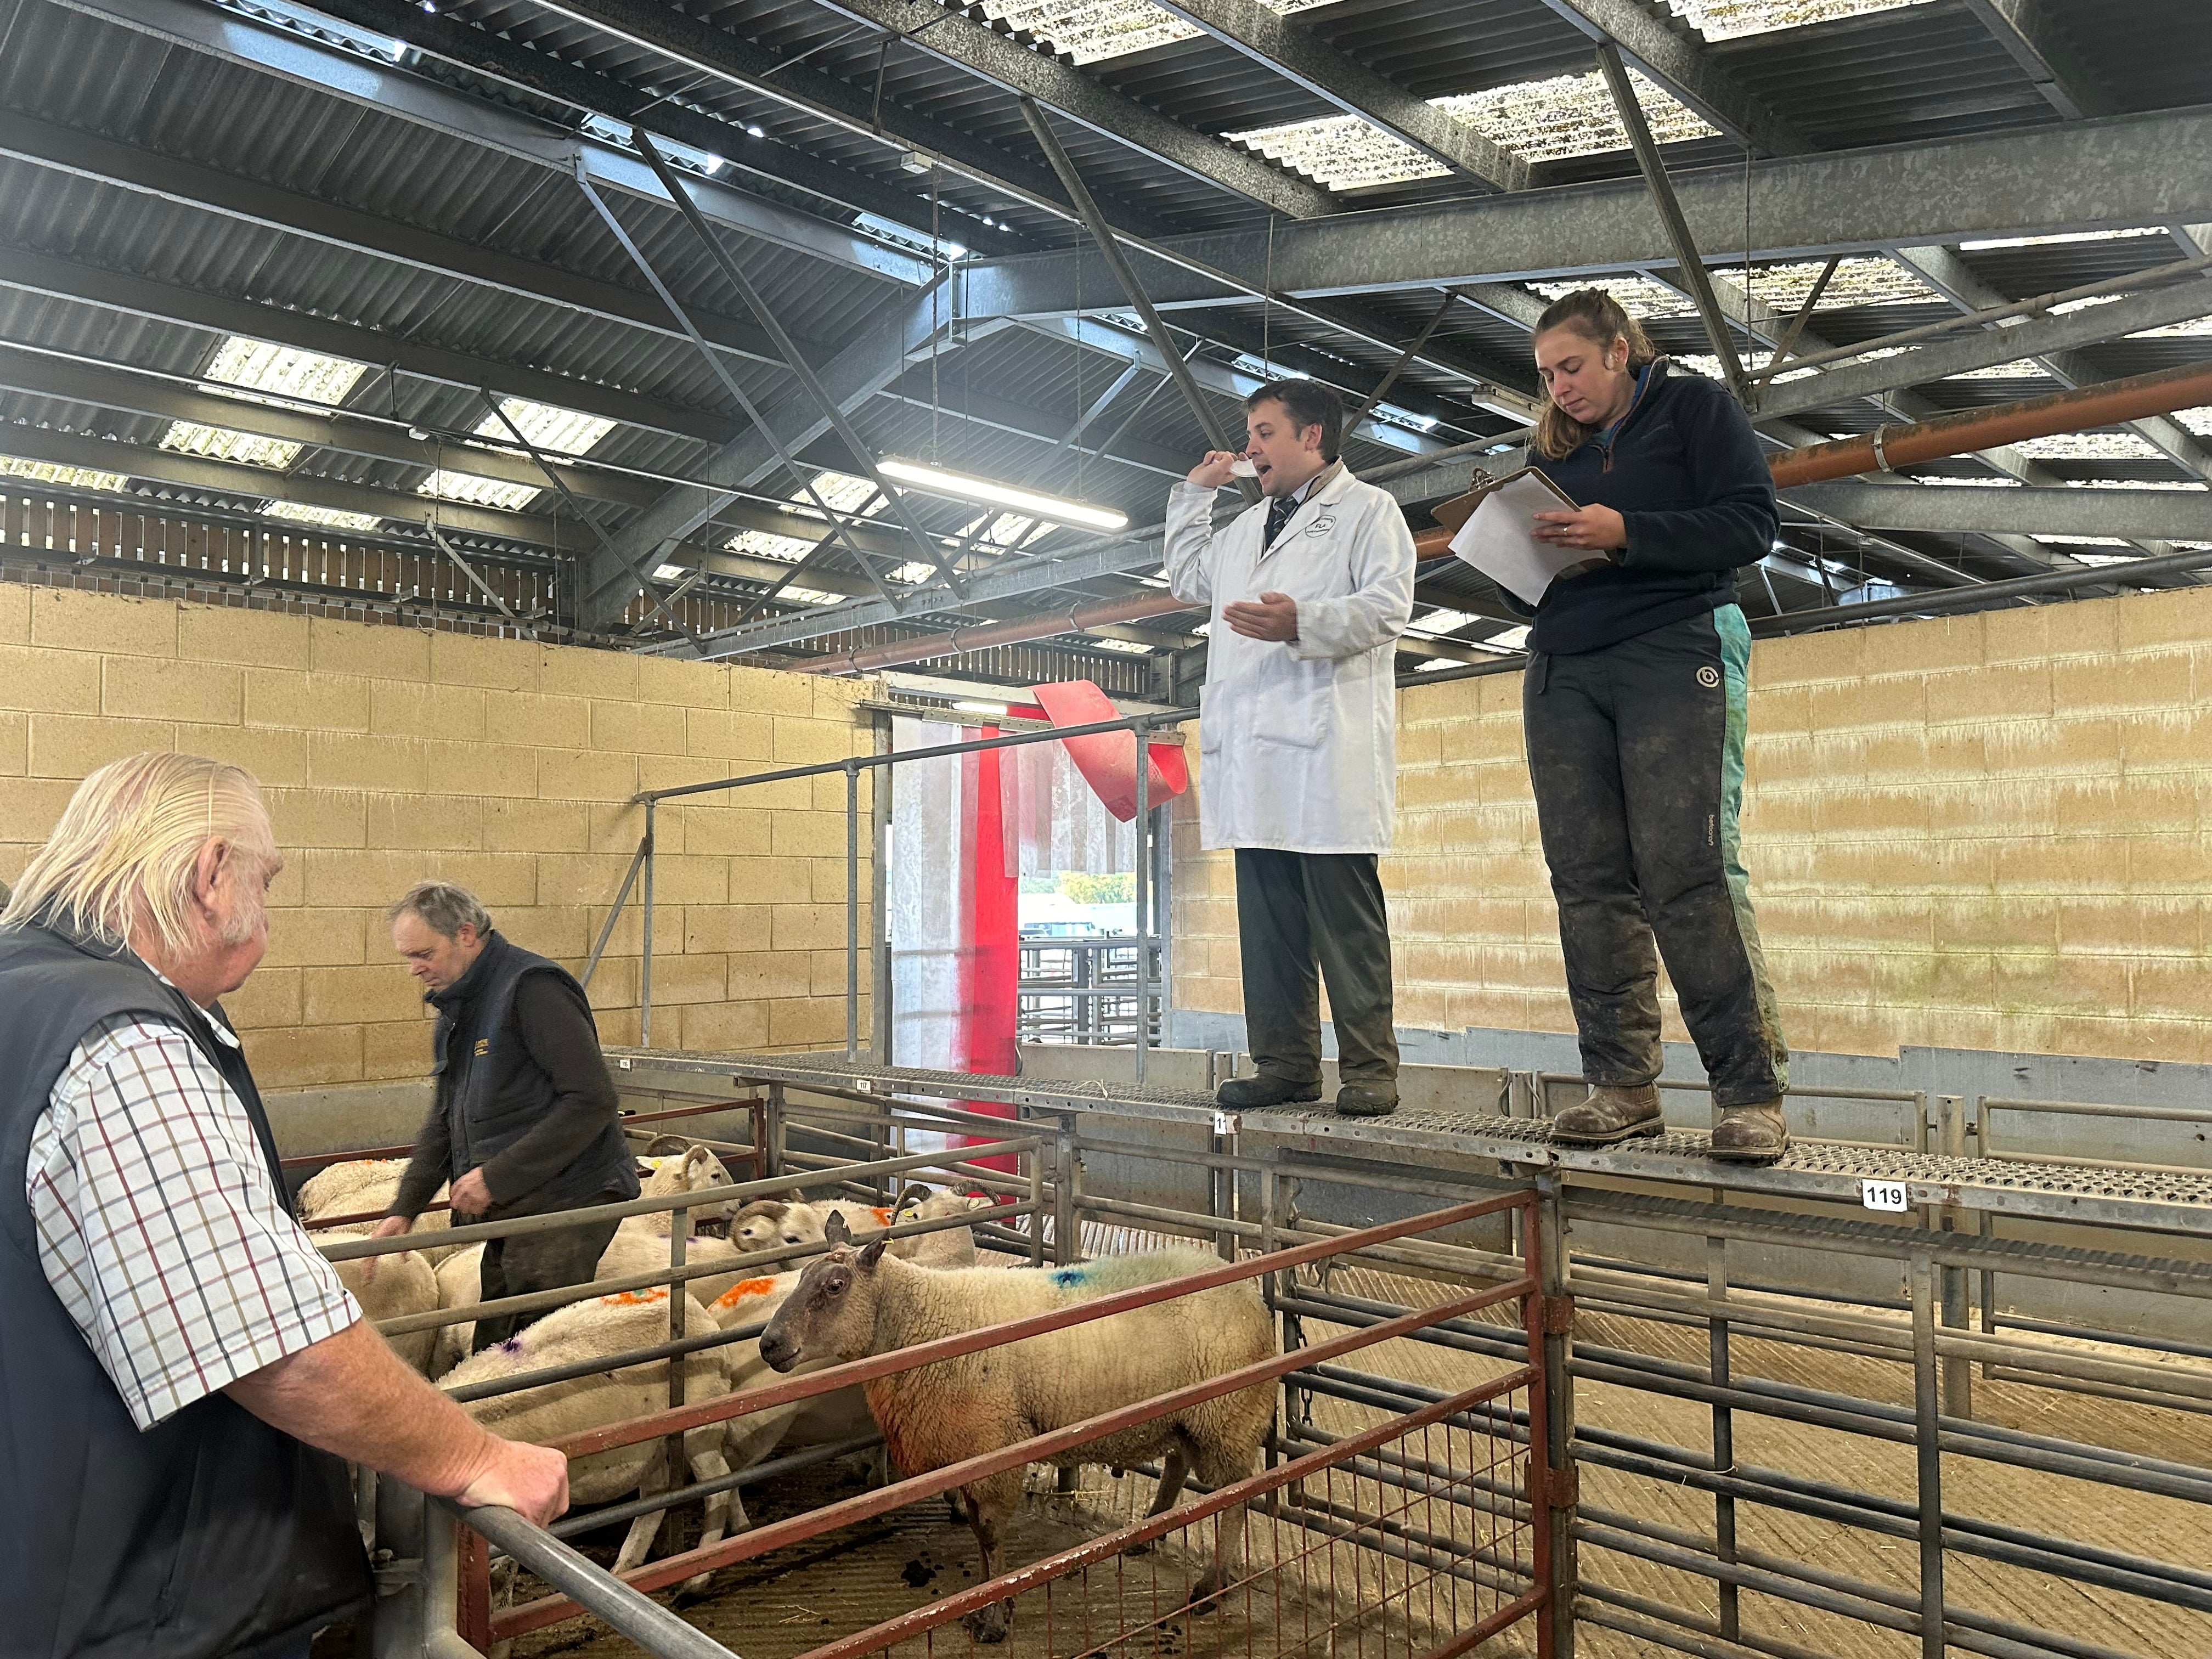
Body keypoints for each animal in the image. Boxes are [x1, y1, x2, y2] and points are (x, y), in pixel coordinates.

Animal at [444, 1283, 738, 1583]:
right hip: (650, 1439)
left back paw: (697, 1578)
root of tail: (695, 1308)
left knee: (719, 1484)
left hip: (701, 1420)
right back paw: (626, 1567)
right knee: (658, 1494)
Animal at [761, 1212, 1283, 1645]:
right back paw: (1151, 1531)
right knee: (1177, 1465)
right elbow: (978, 1533)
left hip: (1228, 1416)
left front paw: (994, 1617)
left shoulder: (994, 1443)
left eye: (835, 1285)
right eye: (803, 1277)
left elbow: (991, 1536)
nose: (769, 1344)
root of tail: (1248, 1293)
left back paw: (1212, 1586)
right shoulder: (969, 1452)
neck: (922, 1321)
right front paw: (987, 1603)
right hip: (1183, 1414)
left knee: (1235, 1497)